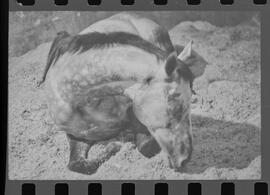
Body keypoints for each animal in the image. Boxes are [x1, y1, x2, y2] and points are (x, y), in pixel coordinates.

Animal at [43, 12, 207, 174]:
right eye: (175, 105)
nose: (185, 158)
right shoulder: (77, 136)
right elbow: (77, 164)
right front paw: (112, 146)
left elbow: (144, 147)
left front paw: (117, 144)